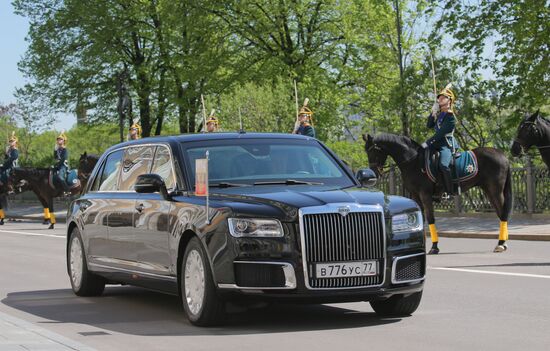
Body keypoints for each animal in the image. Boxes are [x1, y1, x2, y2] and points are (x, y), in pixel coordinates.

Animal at [364, 133, 516, 254]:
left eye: (373, 151)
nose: (373, 173)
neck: (413, 161)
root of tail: (502, 155)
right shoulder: (415, 196)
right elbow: (420, 219)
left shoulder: (424, 195)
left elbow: (430, 219)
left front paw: (434, 247)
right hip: (489, 191)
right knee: (501, 213)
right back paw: (503, 241)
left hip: (495, 190)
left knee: (503, 213)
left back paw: (501, 243)